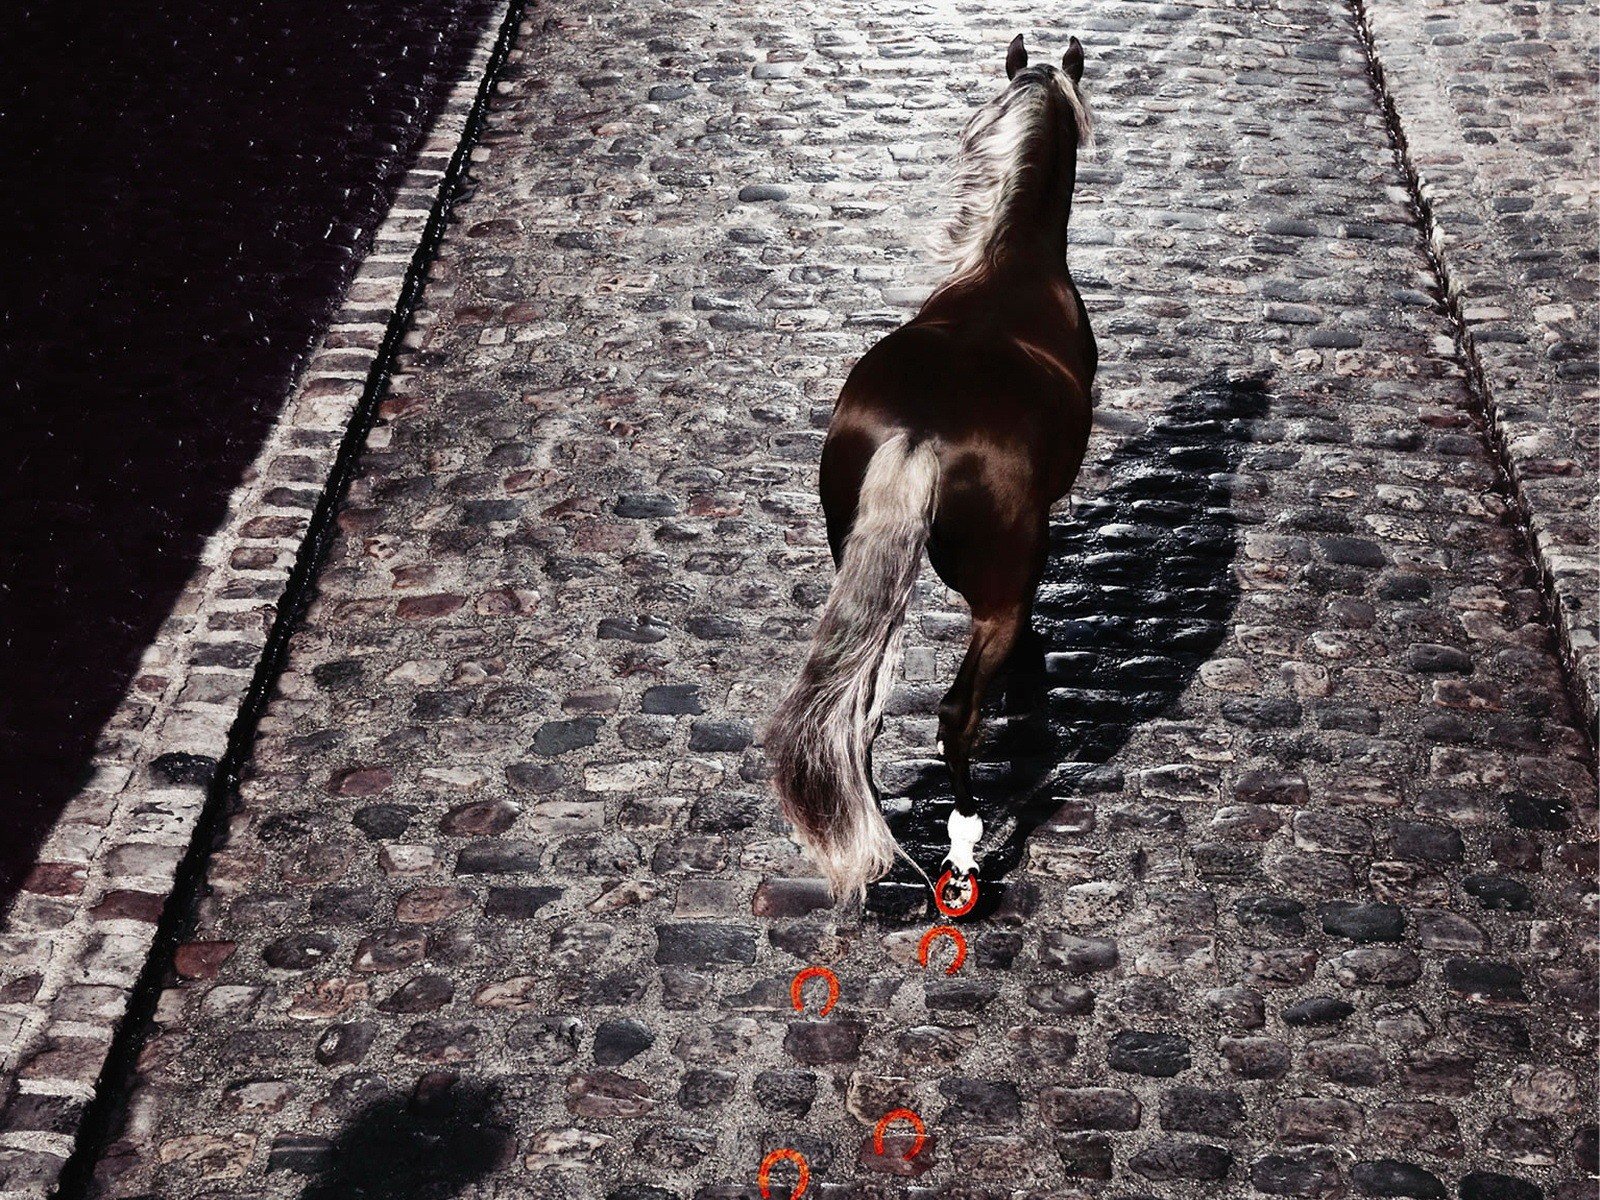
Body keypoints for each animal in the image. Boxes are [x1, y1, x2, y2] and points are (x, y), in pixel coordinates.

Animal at [767, 34, 1098, 908]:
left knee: (859, 715)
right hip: (995, 593)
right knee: (956, 715)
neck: (1009, 262)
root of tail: (920, 431)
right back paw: (966, 845)